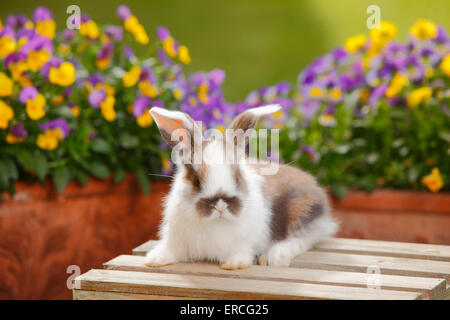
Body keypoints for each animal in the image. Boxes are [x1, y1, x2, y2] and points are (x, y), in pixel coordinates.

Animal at [144, 105, 338, 270]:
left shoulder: (245, 242)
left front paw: (234, 264)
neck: (215, 223)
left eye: (237, 179)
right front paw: (154, 260)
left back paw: (274, 257)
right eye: (197, 181)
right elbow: (170, 251)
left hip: (302, 211)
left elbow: (242, 252)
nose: (220, 206)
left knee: (302, 238)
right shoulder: (176, 240)